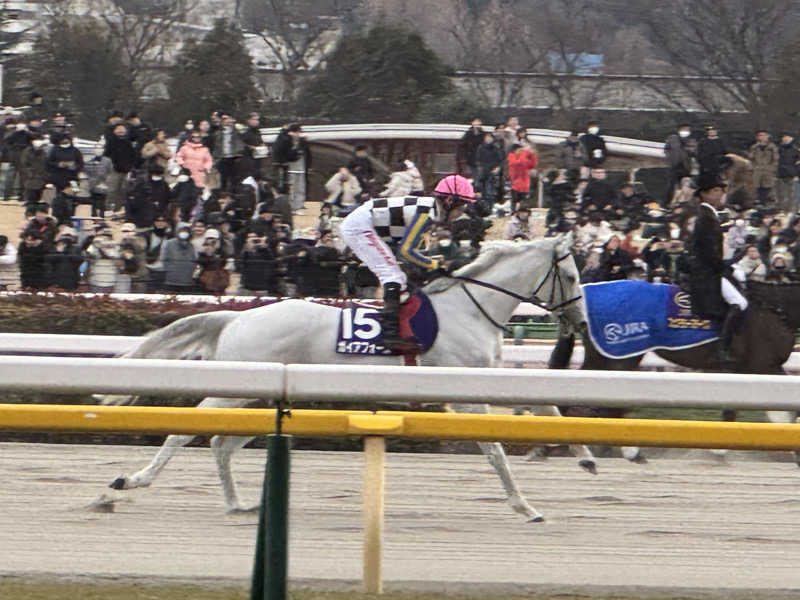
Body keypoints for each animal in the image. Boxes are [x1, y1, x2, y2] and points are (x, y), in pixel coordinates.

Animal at [101, 237, 588, 524]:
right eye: (569, 275)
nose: (581, 322)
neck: (470, 310)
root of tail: (237, 318)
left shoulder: (493, 380)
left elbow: (547, 406)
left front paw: (584, 457)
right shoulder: (467, 394)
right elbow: (496, 451)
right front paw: (526, 506)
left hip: (258, 397)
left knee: (222, 443)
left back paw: (238, 503)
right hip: (236, 392)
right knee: (185, 431)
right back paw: (130, 482)